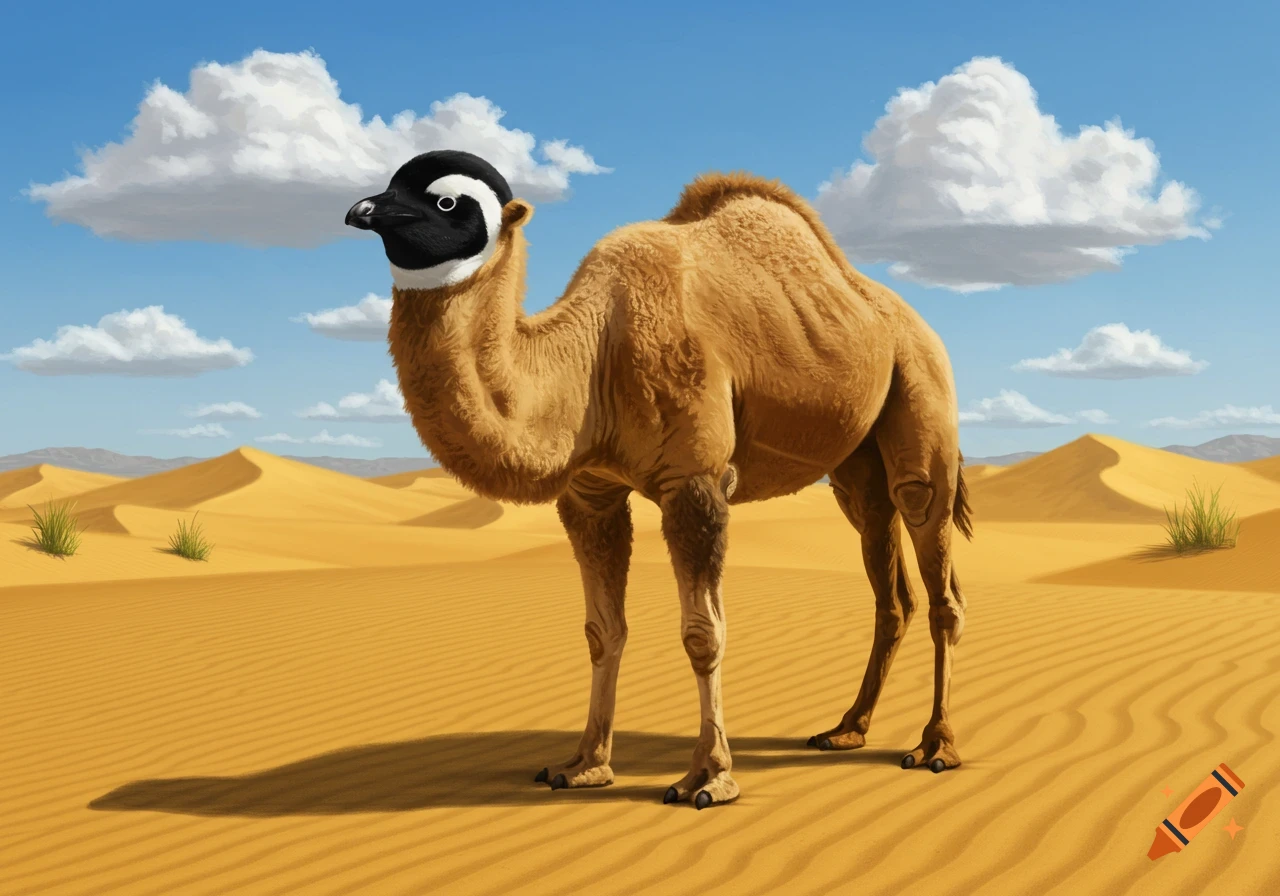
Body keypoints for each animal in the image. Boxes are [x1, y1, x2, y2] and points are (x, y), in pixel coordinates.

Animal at [345, 150, 974, 810]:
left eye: (445, 201)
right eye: (390, 184)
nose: (360, 209)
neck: (593, 353)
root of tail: (909, 318)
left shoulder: (694, 481)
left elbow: (703, 633)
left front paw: (709, 777)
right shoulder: (590, 494)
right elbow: (602, 631)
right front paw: (584, 764)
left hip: (921, 388)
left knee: (934, 557)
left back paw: (935, 746)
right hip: (854, 465)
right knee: (887, 574)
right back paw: (847, 729)